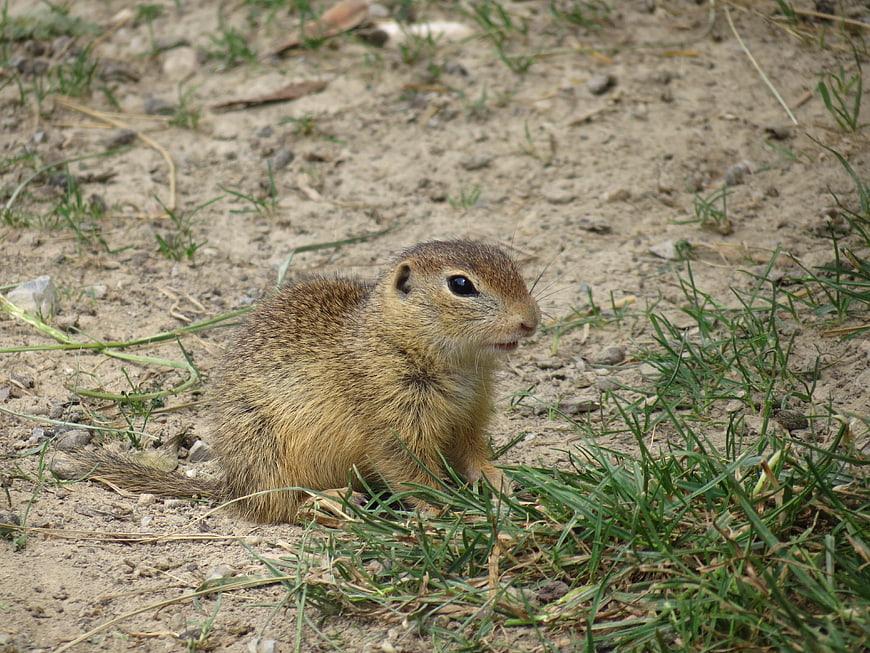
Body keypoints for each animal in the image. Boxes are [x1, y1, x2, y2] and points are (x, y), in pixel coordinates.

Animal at [70, 240, 540, 522]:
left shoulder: (470, 416)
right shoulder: (392, 422)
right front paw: (446, 508)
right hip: (267, 452)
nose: (530, 321)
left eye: (511, 264)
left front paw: (499, 481)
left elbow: (473, 453)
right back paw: (330, 501)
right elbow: (409, 473)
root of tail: (231, 486)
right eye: (461, 284)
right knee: (278, 507)